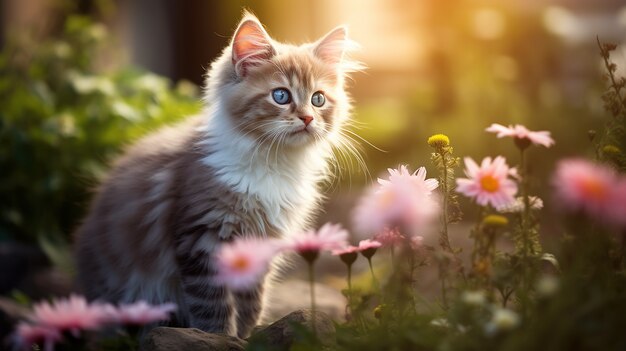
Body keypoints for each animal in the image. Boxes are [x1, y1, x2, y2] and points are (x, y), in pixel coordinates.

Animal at [74, 11, 356, 338]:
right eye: (281, 95)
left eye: (318, 99)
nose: (308, 118)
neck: (271, 163)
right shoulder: (201, 238)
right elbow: (212, 306)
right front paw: (220, 337)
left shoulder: (258, 246)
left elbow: (251, 301)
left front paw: (247, 334)